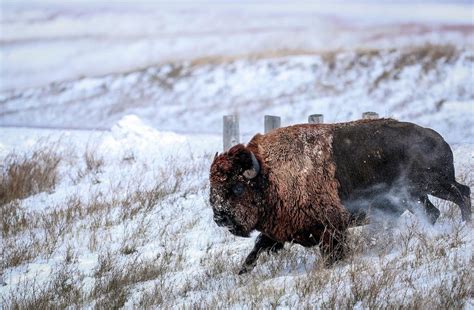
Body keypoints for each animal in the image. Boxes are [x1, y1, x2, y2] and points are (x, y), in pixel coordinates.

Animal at [209, 118, 472, 274]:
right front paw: (242, 273)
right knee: (434, 211)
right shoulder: (279, 230)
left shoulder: (331, 227)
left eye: (237, 187)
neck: (269, 174)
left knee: (463, 194)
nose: (220, 216)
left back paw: (465, 224)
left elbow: (332, 251)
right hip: (415, 196)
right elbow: (257, 248)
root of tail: (437, 138)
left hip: (436, 185)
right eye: (213, 189)